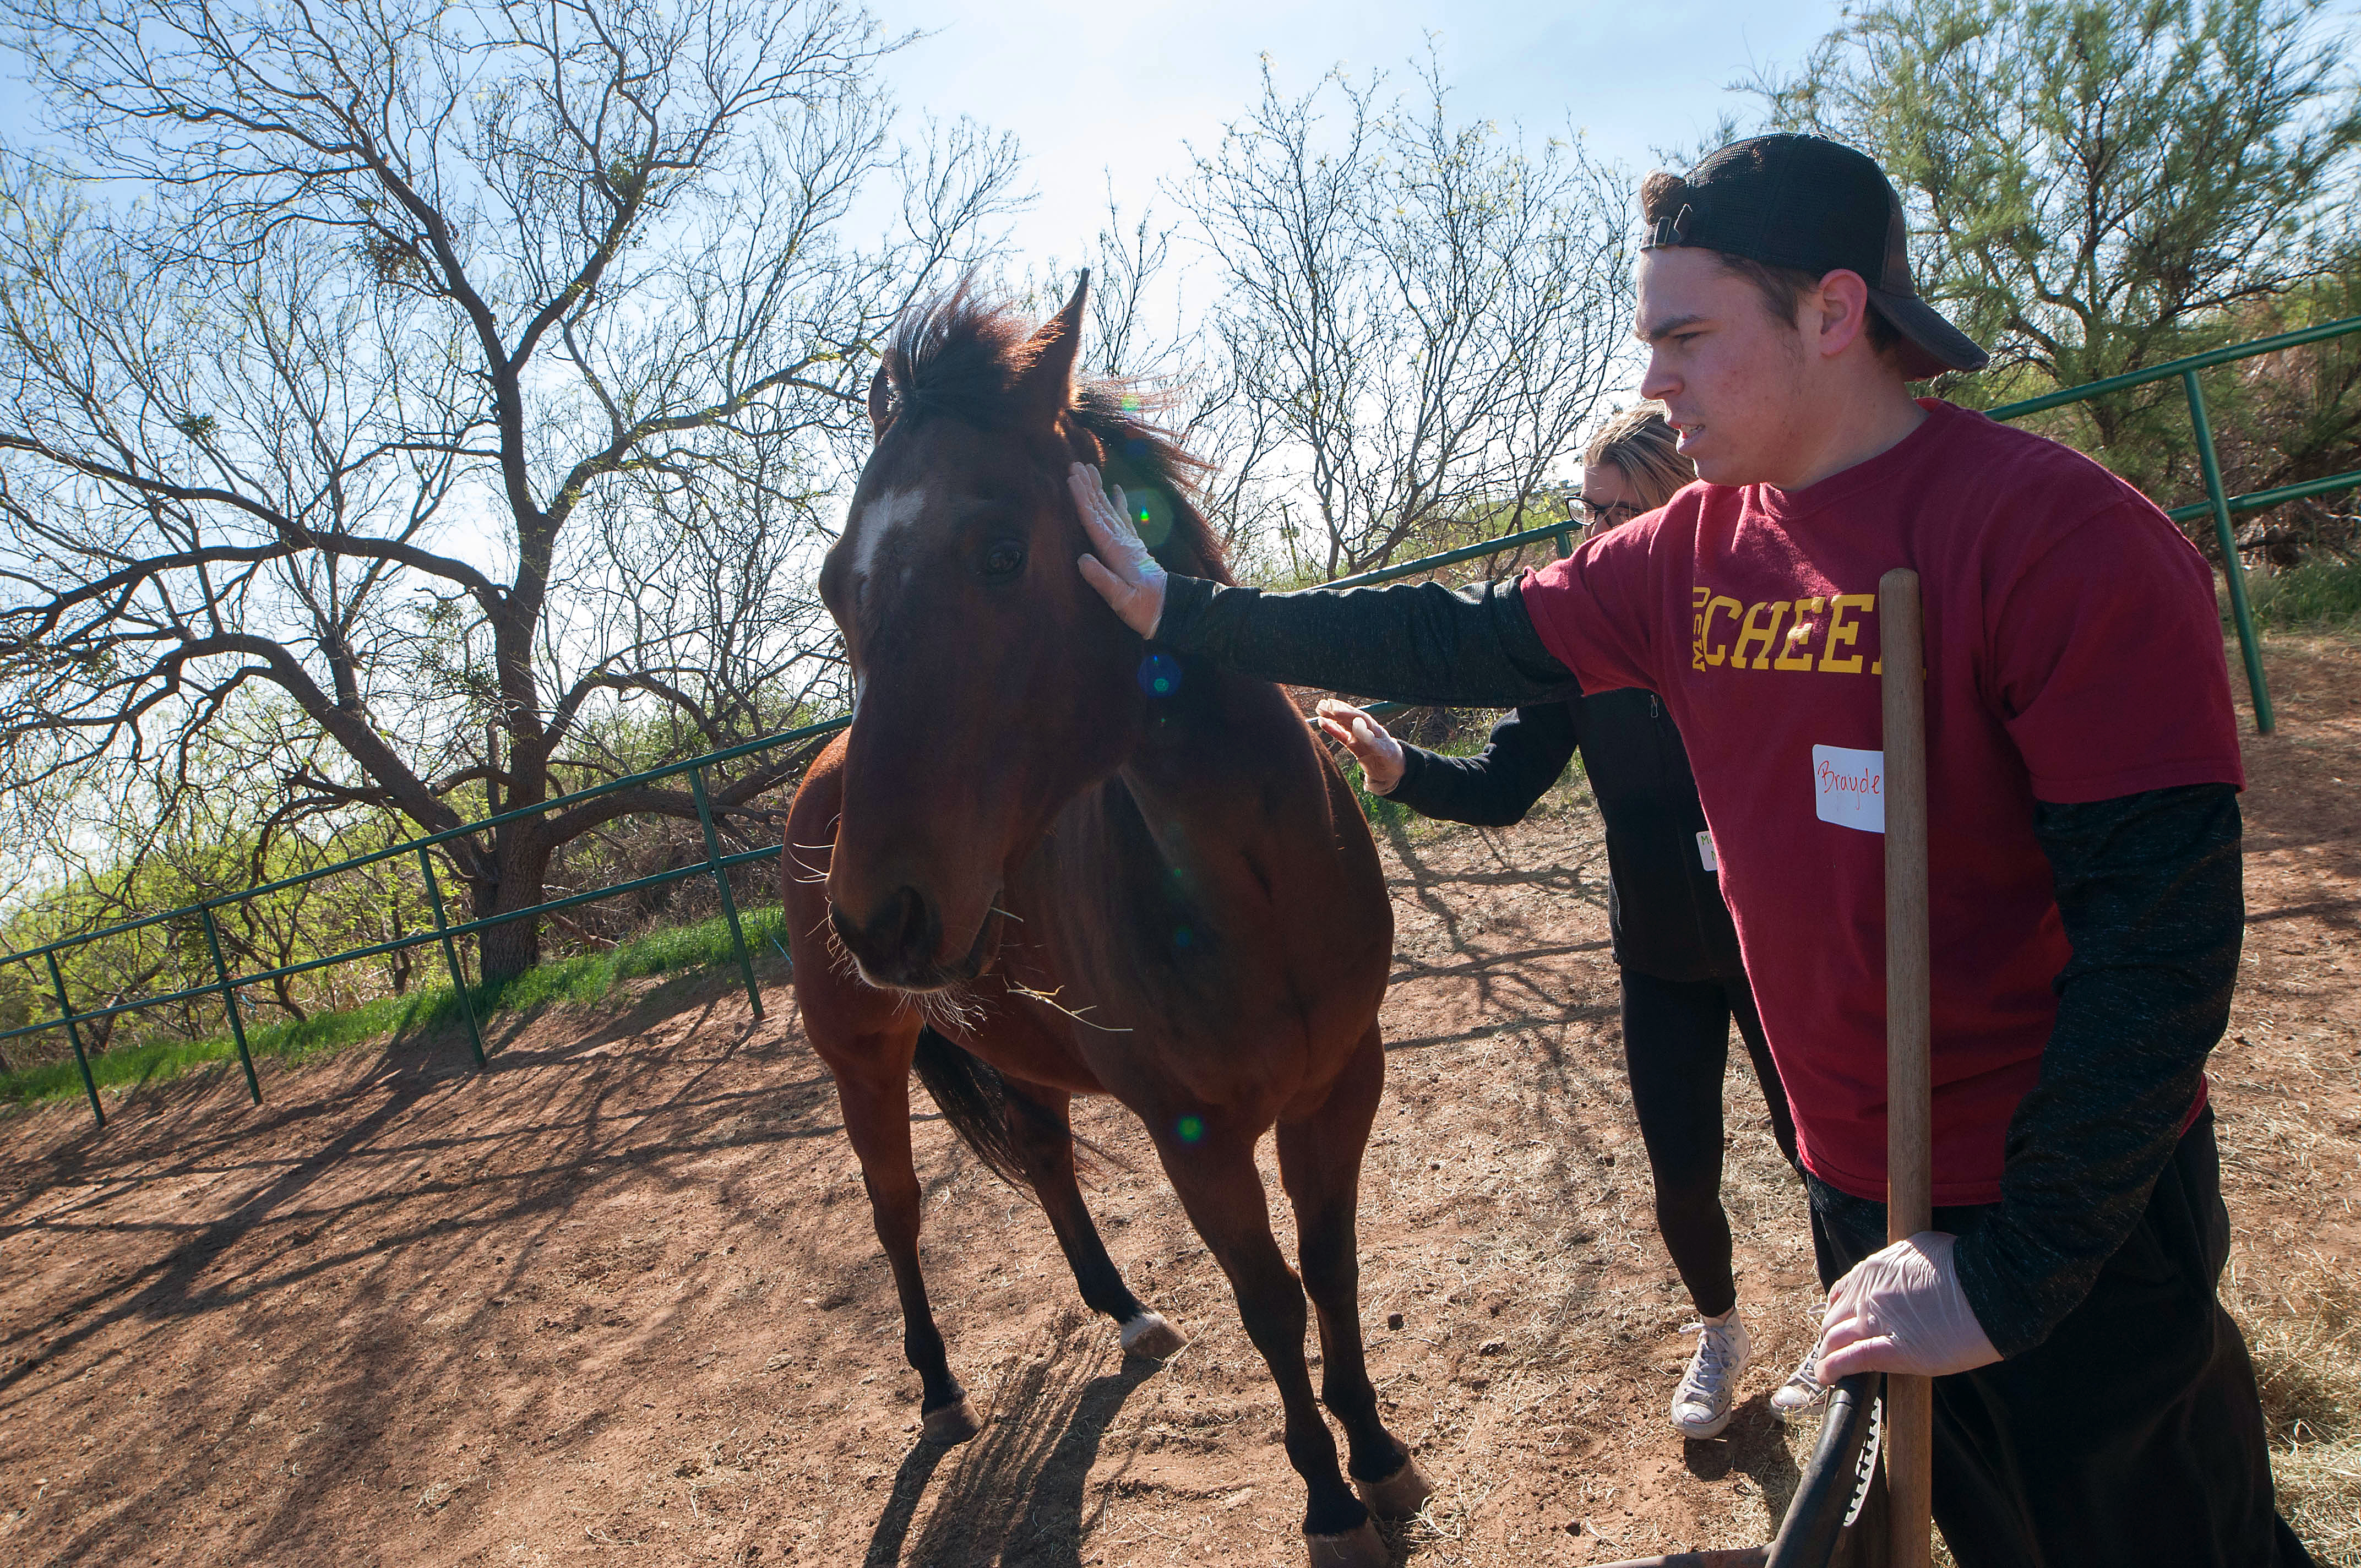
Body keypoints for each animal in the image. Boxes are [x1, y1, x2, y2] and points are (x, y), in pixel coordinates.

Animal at [784, 275, 1426, 1558]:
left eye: (998, 551)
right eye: (836, 586)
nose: (874, 916)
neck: (1253, 885)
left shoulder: (1342, 1082)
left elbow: (1330, 1265)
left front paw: (1377, 1452)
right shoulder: (1197, 1136)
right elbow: (1270, 1300)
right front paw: (1327, 1498)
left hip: (1013, 1043)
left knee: (1042, 1160)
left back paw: (1126, 1312)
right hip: (863, 1064)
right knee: (896, 1212)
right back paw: (940, 1388)